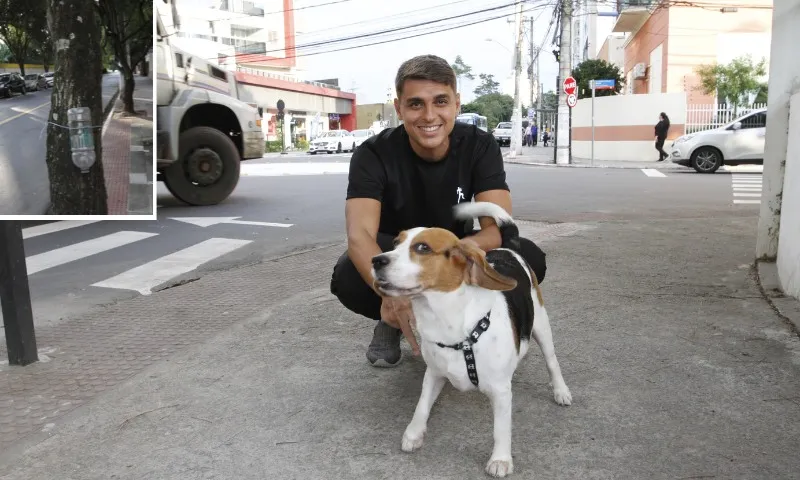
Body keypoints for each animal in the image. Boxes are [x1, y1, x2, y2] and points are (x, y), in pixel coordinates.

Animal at [372, 202, 572, 476]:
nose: (376, 260)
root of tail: (508, 247)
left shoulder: (500, 391)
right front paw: (413, 433)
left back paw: (561, 391)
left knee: (552, 362)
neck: (449, 325)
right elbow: (421, 405)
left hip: (542, 324)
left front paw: (500, 459)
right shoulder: (434, 373)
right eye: (395, 242)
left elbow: (501, 429)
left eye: (422, 248)